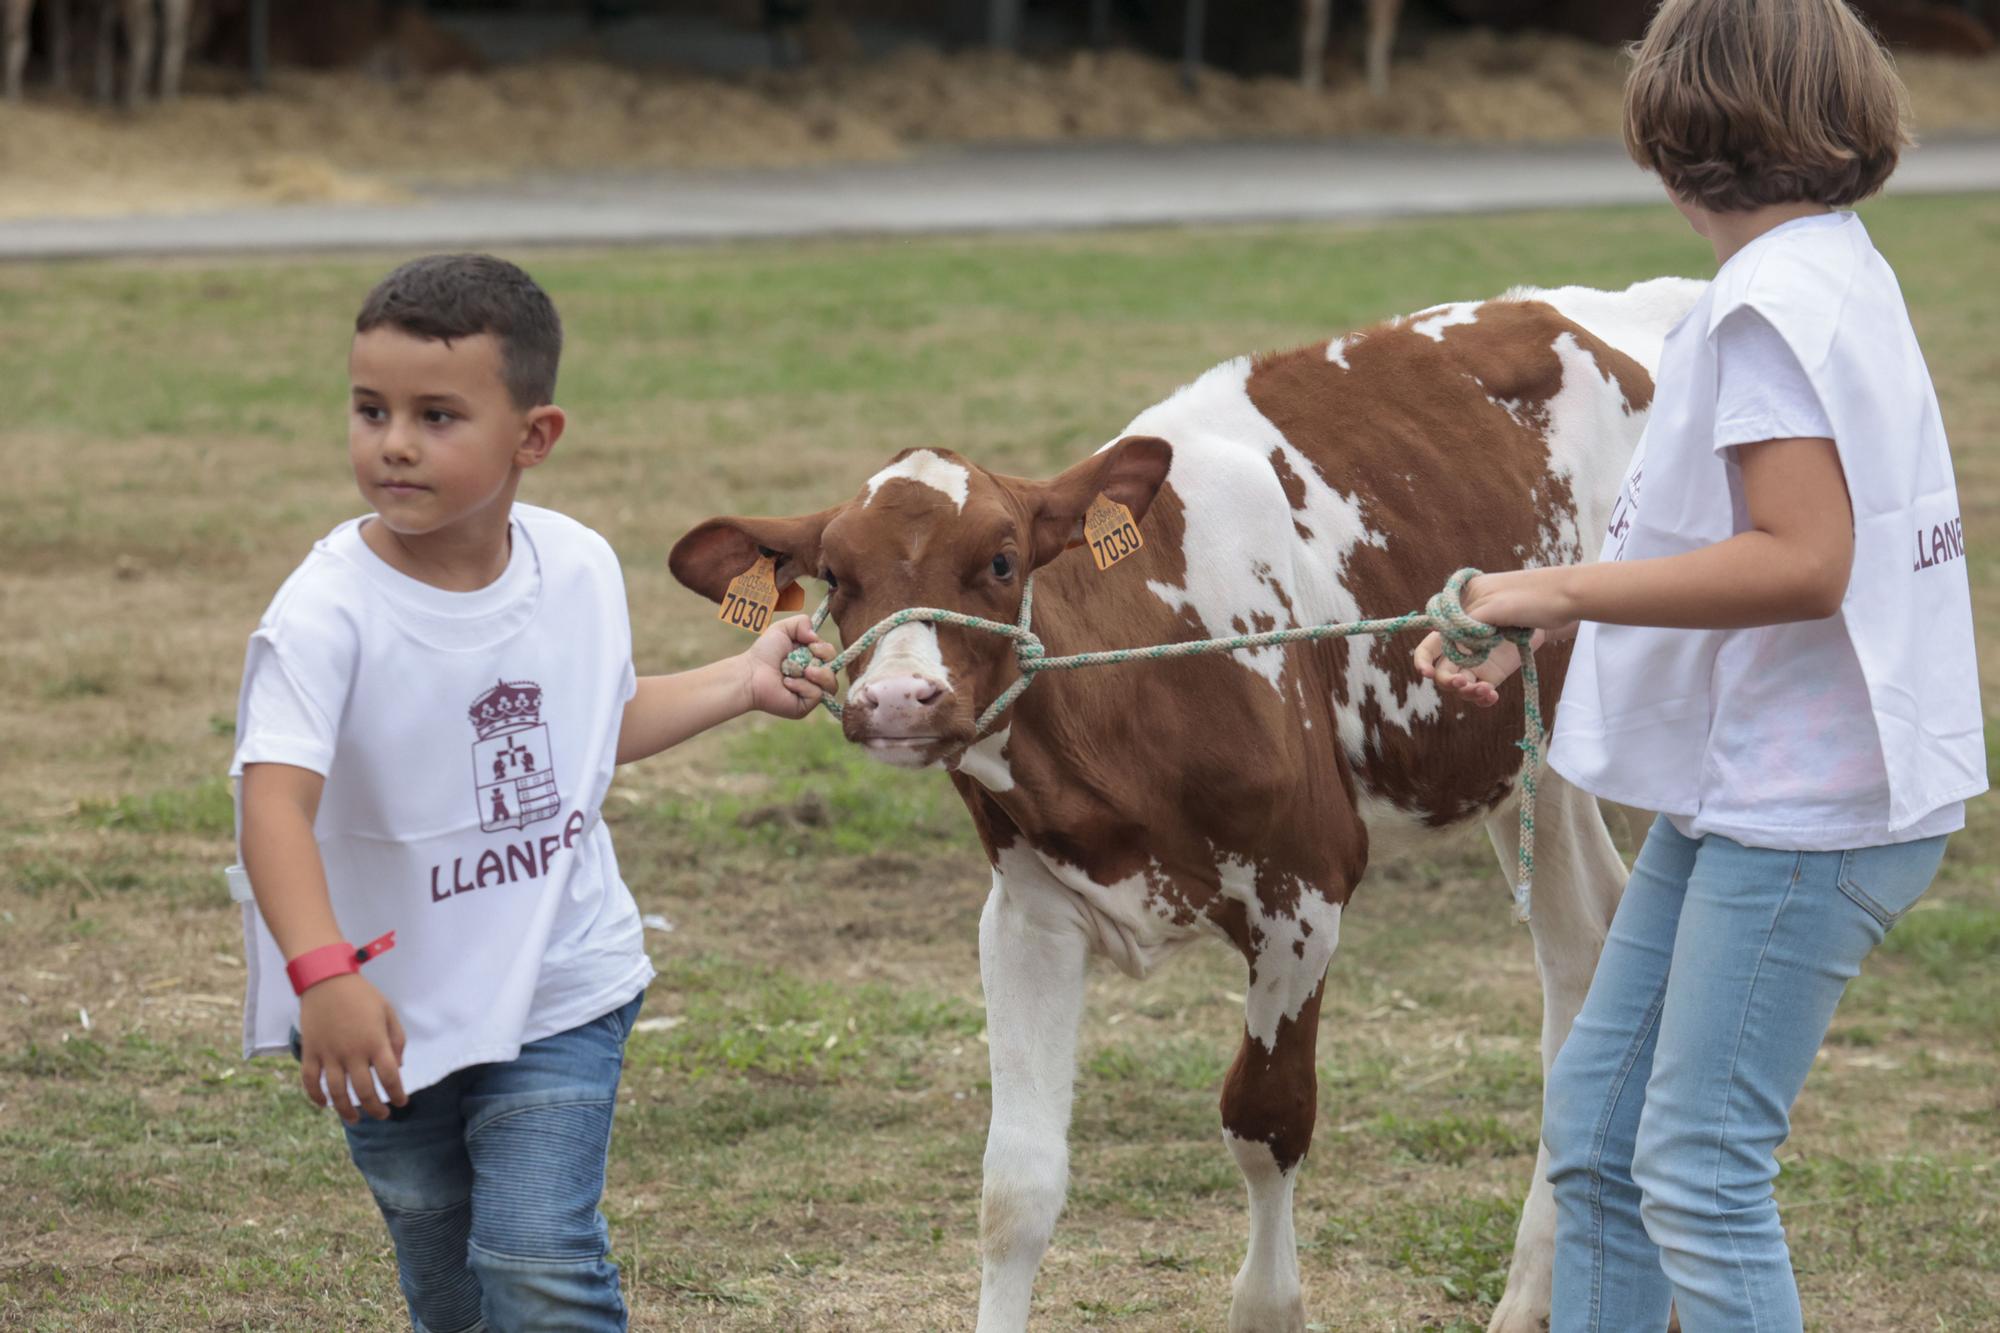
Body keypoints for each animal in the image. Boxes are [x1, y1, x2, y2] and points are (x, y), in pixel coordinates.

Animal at [672, 274, 1704, 1320]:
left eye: (1002, 561)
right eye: (838, 579)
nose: (894, 700)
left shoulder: (1307, 890)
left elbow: (1265, 1123)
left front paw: (1268, 1303)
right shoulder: (1028, 912)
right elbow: (1016, 1184)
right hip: (1538, 762)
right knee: (1583, 948)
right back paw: (1533, 1295)